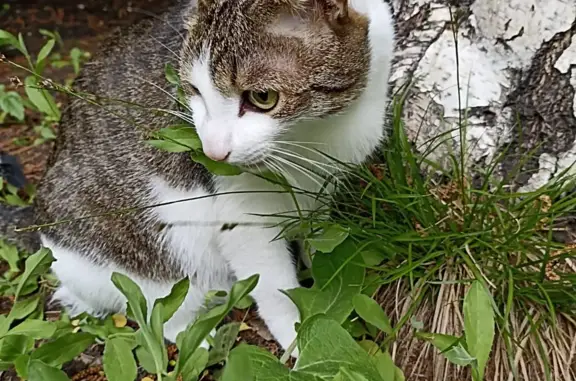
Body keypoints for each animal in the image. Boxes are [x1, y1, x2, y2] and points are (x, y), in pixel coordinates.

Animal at [30, 0, 396, 354]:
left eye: (262, 97)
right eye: (194, 90)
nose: (213, 153)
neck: (319, 131)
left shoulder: (320, 191)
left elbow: (320, 242)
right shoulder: (243, 219)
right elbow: (274, 287)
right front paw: (299, 338)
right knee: (156, 307)